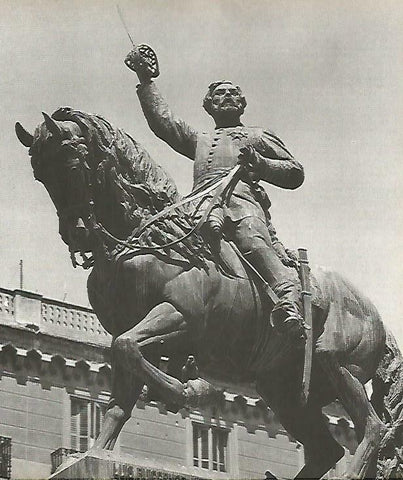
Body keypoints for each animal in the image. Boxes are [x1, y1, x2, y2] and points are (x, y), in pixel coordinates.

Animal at [14, 109, 402, 480]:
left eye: (70, 163)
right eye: (39, 174)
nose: (76, 236)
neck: (153, 240)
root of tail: (378, 318)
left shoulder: (181, 317)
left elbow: (127, 349)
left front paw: (189, 390)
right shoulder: (133, 331)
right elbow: (120, 388)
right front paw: (95, 453)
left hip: (336, 363)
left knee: (373, 427)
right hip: (285, 393)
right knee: (327, 449)